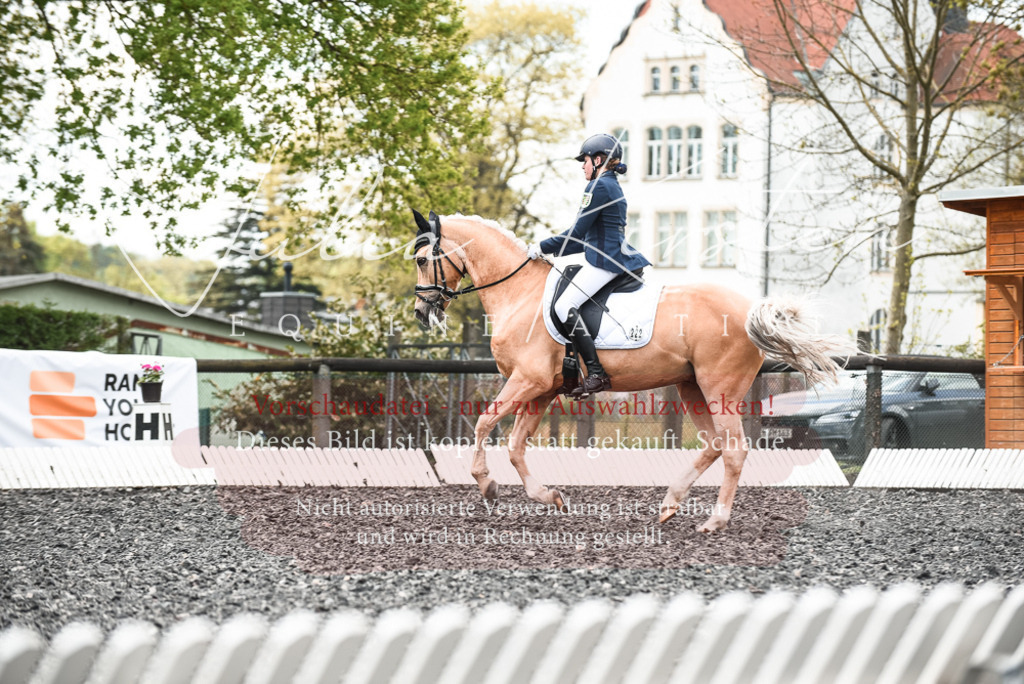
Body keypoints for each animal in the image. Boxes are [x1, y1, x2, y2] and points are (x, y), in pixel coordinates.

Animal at [411, 210, 853, 532]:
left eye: (421, 260)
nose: (420, 312)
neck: (520, 294)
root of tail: (748, 310)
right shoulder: (542, 389)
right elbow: (516, 446)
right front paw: (549, 496)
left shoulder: (528, 381)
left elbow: (485, 423)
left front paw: (486, 484)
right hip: (692, 386)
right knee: (712, 444)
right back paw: (669, 504)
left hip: (719, 389)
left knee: (733, 449)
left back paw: (714, 521)